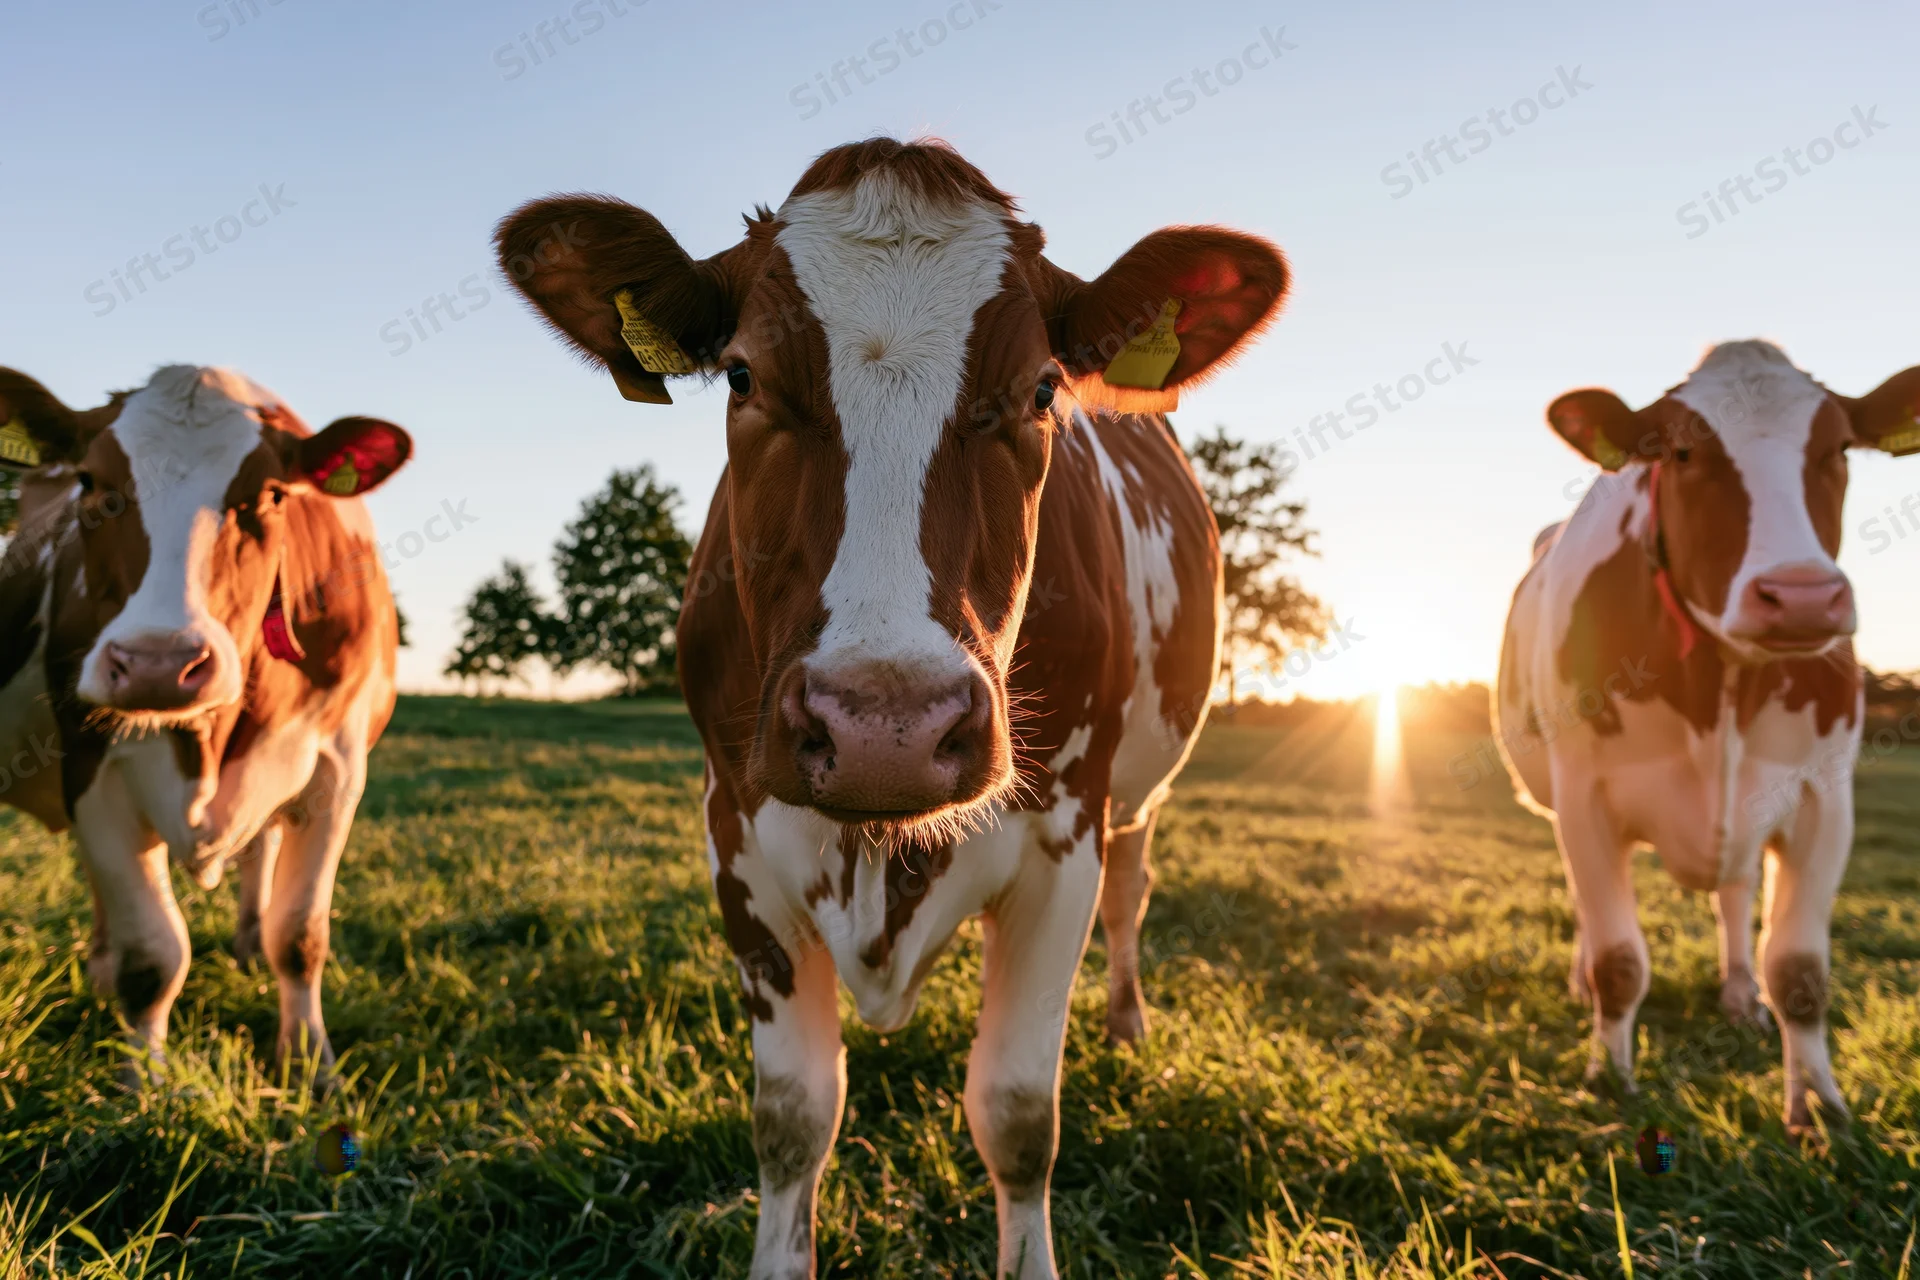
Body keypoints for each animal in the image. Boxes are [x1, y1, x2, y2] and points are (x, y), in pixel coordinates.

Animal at [0, 364, 411, 1085]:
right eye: (91, 483)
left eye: (270, 495)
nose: (158, 664)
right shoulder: (93, 772)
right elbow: (153, 954)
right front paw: (144, 1081)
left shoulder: (336, 772)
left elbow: (299, 936)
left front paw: (311, 1066)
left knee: (260, 853)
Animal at [497, 138, 1286, 1277]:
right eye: (743, 375)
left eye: (1041, 388)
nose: (886, 727)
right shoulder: (735, 834)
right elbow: (792, 1117)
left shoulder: (1064, 840)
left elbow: (1017, 1115)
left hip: (1135, 798)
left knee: (1134, 895)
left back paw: (1129, 1024)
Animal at [1495, 340, 1920, 1132]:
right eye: (1682, 451)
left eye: (1839, 448)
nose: (1802, 596)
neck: (1724, 682)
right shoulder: (1585, 797)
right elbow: (1618, 960)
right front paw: (1609, 1080)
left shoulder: (1824, 798)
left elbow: (1801, 972)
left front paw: (1818, 1108)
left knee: (1735, 893)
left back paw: (1739, 994)